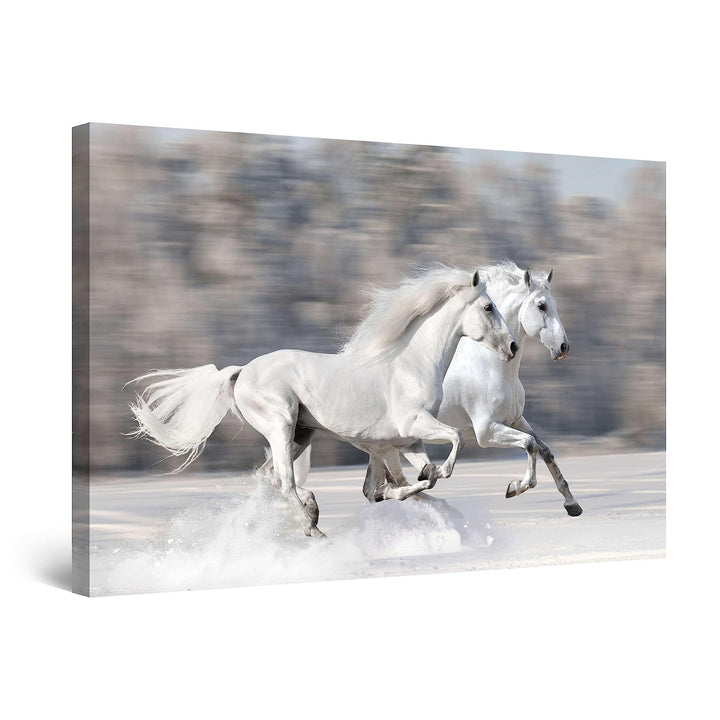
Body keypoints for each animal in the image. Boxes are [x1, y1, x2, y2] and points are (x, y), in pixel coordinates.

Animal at [127, 266, 518, 538]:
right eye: (488, 307)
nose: (512, 346)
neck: (411, 363)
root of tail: (241, 372)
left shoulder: (406, 442)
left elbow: (415, 481)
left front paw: (422, 489)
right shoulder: (410, 429)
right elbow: (451, 447)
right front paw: (411, 485)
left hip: (302, 434)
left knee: (270, 477)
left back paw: (312, 509)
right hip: (281, 426)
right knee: (282, 480)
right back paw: (312, 527)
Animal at [293, 261, 583, 517]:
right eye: (542, 305)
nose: (563, 347)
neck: (490, 365)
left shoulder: (515, 419)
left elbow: (543, 449)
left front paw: (572, 504)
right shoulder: (486, 431)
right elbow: (529, 445)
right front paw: (515, 487)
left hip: (379, 446)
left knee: (374, 488)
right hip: (385, 445)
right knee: (386, 485)